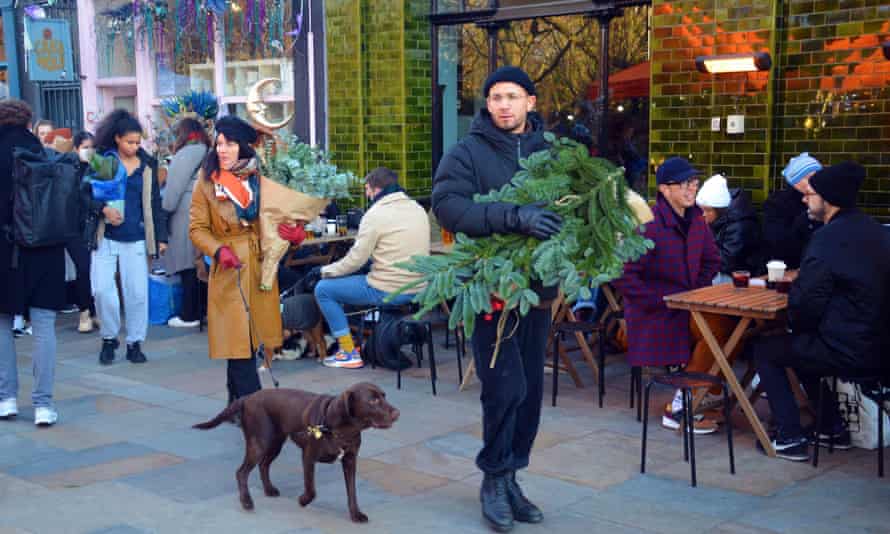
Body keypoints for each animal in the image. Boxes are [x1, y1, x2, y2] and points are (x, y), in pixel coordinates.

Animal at [198, 384, 402, 524]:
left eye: (384, 396)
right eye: (373, 400)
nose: (397, 413)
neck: (341, 430)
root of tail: (247, 397)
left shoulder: (350, 461)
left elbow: (352, 492)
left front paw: (355, 515)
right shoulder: (308, 457)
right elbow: (312, 490)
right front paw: (303, 501)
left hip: (275, 443)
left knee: (263, 465)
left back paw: (269, 490)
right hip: (259, 443)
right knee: (241, 472)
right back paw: (246, 501)